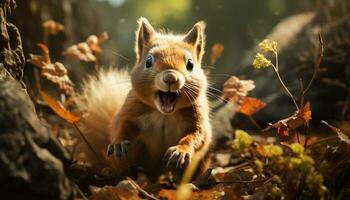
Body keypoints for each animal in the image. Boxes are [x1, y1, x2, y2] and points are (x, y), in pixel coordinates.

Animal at [76, 17, 212, 181]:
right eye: (148, 61)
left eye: (190, 64)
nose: (170, 77)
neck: (164, 114)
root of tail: (160, 171)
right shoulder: (132, 109)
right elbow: (121, 124)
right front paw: (119, 143)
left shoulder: (196, 116)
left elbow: (197, 135)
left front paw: (180, 151)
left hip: (197, 163)